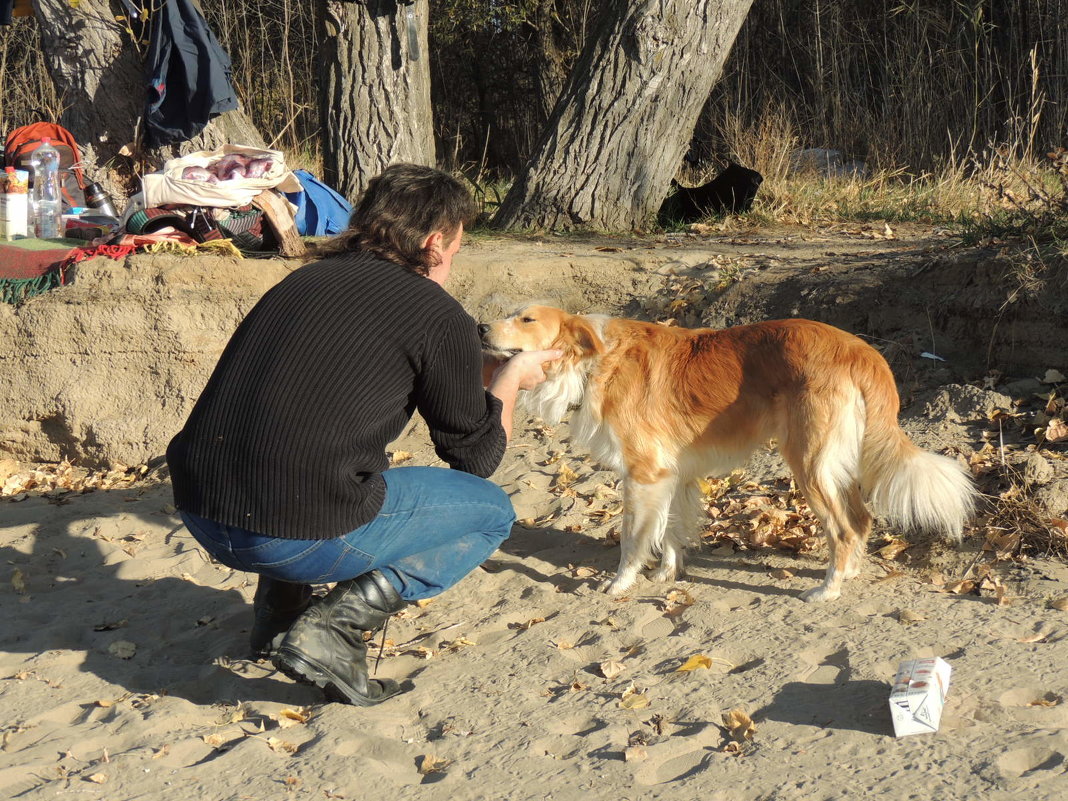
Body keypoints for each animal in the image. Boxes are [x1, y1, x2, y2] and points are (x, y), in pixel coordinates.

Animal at [482, 305, 978, 602]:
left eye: (527, 319)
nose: (481, 326)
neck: (594, 361)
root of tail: (860, 350)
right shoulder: (672, 475)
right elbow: (671, 530)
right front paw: (665, 575)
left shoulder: (643, 474)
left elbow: (632, 540)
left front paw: (621, 583)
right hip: (831, 465)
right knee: (860, 520)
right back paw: (850, 573)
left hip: (808, 463)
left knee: (842, 529)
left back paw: (827, 590)